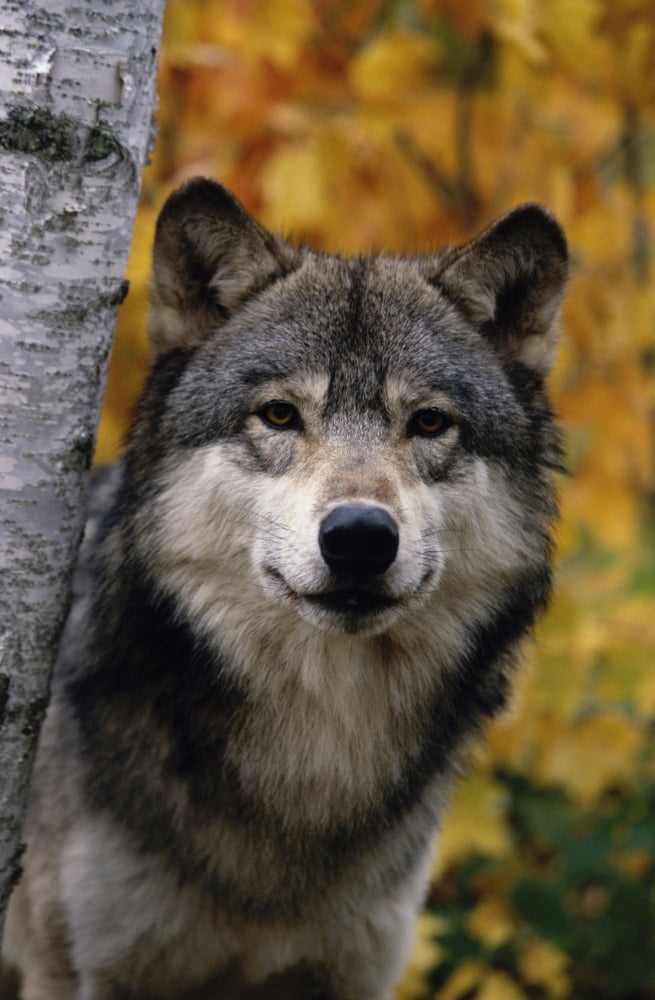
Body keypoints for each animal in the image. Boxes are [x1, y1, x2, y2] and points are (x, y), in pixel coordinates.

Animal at [2, 178, 568, 999]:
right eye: (279, 414)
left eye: (429, 423)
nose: (360, 536)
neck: (312, 759)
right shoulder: (74, 970)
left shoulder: (352, 972)